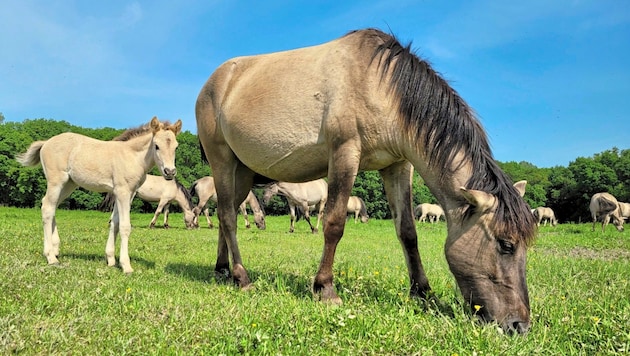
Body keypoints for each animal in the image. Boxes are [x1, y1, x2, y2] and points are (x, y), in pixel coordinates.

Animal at [17, 117, 180, 272]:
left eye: (176, 147)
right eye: (156, 146)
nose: (170, 172)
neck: (132, 156)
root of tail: (46, 143)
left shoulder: (128, 193)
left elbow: (115, 223)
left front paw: (111, 259)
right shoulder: (123, 192)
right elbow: (125, 226)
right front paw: (126, 266)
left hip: (69, 185)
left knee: (51, 207)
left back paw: (55, 250)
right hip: (56, 182)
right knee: (47, 208)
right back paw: (50, 256)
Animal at [196, 27, 540, 334]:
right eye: (506, 244)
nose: (519, 326)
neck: (381, 86)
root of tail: (214, 82)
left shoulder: (398, 166)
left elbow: (408, 232)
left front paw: (422, 292)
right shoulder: (344, 153)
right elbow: (334, 224)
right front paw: (325, 289)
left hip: (242, 171)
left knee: (228, 214)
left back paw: (223, 269)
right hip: (221, 159)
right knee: (227, 216)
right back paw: (242, 277)